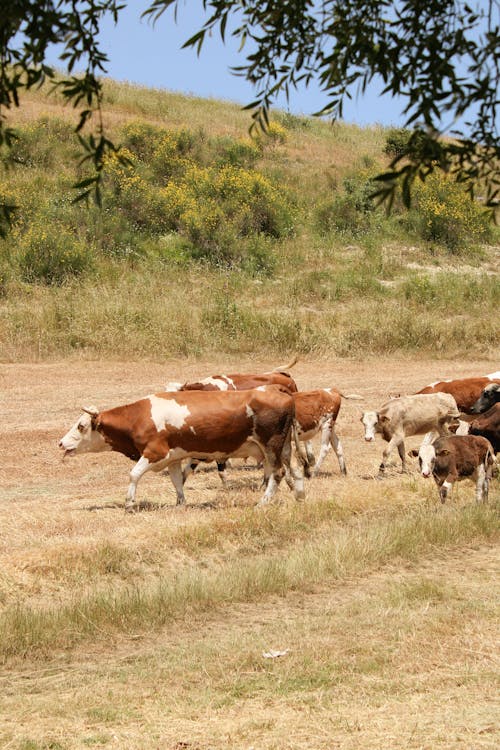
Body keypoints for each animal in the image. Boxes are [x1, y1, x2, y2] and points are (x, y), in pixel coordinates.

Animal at [57, 388, 304, 512]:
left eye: (81, 426)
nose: (60, 443)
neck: (139, 417)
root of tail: (286, 397)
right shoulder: (173, 457)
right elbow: (176, 480)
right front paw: (180, 503)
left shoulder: (154, 452)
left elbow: (134, 474)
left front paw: (129, 503)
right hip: (283, 448)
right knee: (295, 469)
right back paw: (299, 495)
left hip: (271, 445)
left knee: (278, 473)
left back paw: (263, 502)